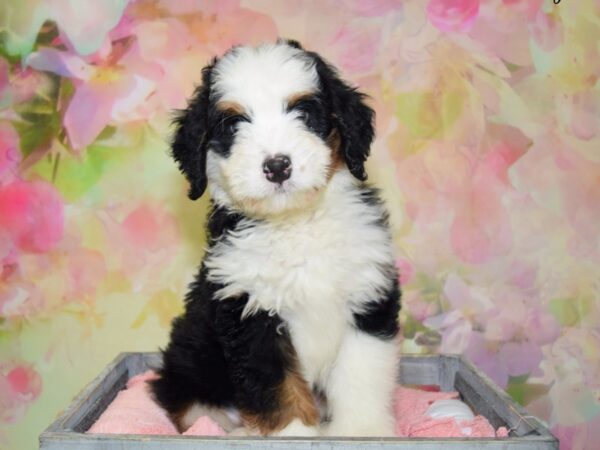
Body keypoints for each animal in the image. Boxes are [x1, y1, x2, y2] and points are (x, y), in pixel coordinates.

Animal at [151, 37, 404, 436]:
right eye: (233, 125)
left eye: (304, 113)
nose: (277, 166)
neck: (296, 223)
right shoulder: (249, 312)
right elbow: (279, 386)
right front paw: (296, 434)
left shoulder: (368, 296)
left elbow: (361, 373)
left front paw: (361, 430)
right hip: (189, 361)